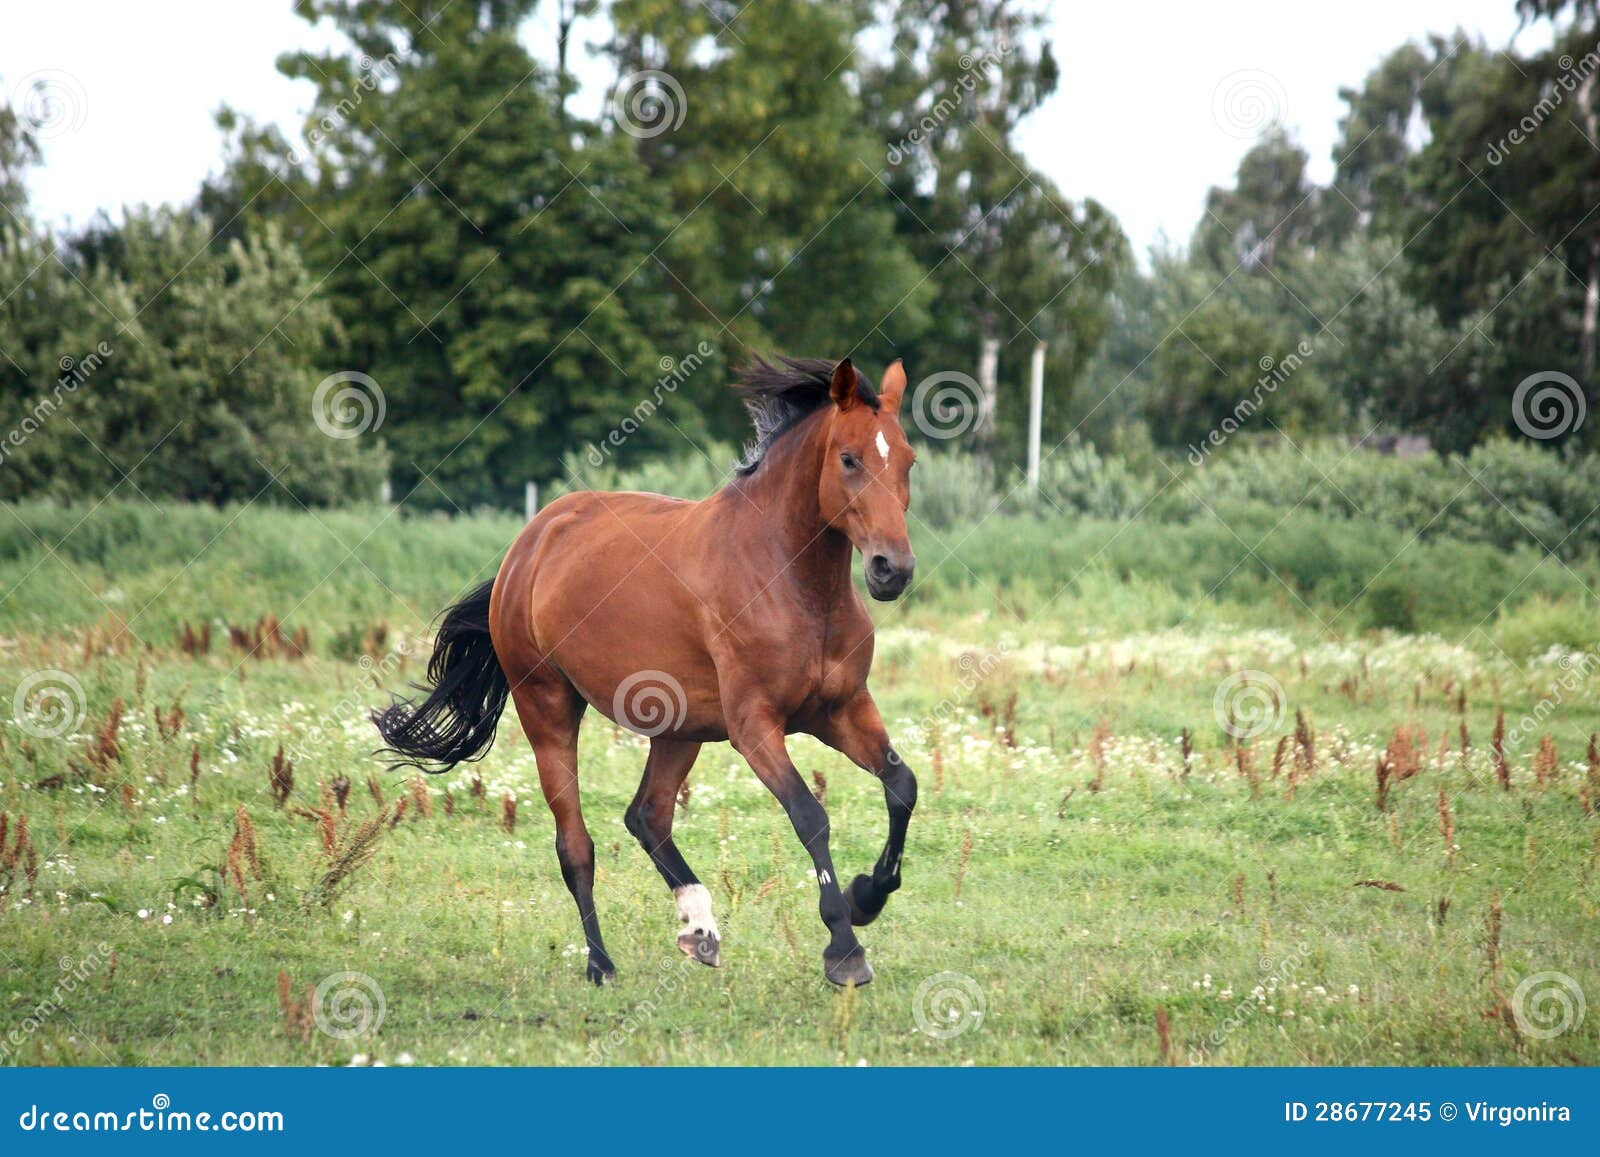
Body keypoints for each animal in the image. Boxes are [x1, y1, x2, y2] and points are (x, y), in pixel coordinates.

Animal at [371, 355, 915, 985]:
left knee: (648, 817)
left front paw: (866, 895)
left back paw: (700, 929)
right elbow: (810, 814)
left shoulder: (841, 709)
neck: (792, 581)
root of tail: (526, 546)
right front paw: (844, 947)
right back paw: (601, 963)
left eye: (907, 460)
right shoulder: (755, 727)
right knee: (575, 844)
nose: (892, 570)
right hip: (547, 708)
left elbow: (902, 786)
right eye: (849, 458)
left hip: (680, 727)